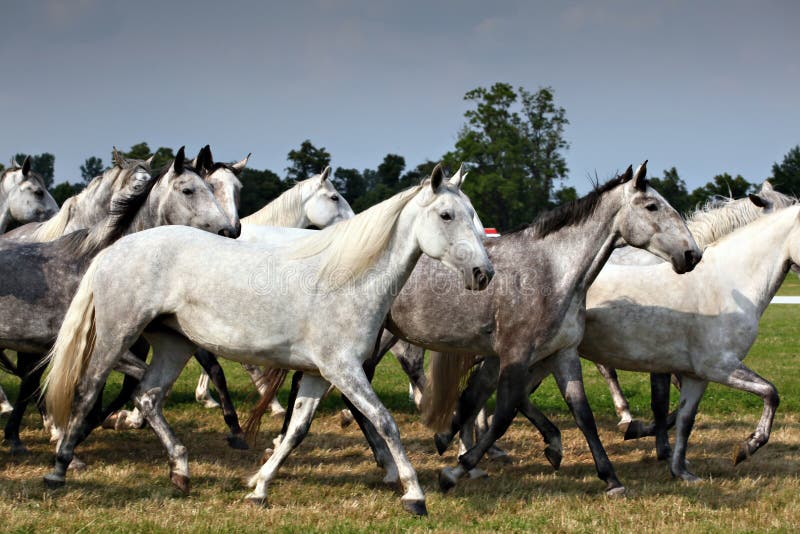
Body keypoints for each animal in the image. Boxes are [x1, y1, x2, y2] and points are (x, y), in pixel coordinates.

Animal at [45, 166, 494, 516]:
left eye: (474, 214)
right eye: (447, 215)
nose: (483, 273)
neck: (349, 280)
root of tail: (114, 250)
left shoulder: (318, 374)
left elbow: (296, 430)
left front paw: (259, 487)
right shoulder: (344, 370)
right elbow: (385, 423)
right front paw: (414, 495)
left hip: (174, 345)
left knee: (148, 397)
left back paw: (181, 472)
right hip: (117, 335)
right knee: (88, 390)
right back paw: (59, 468)